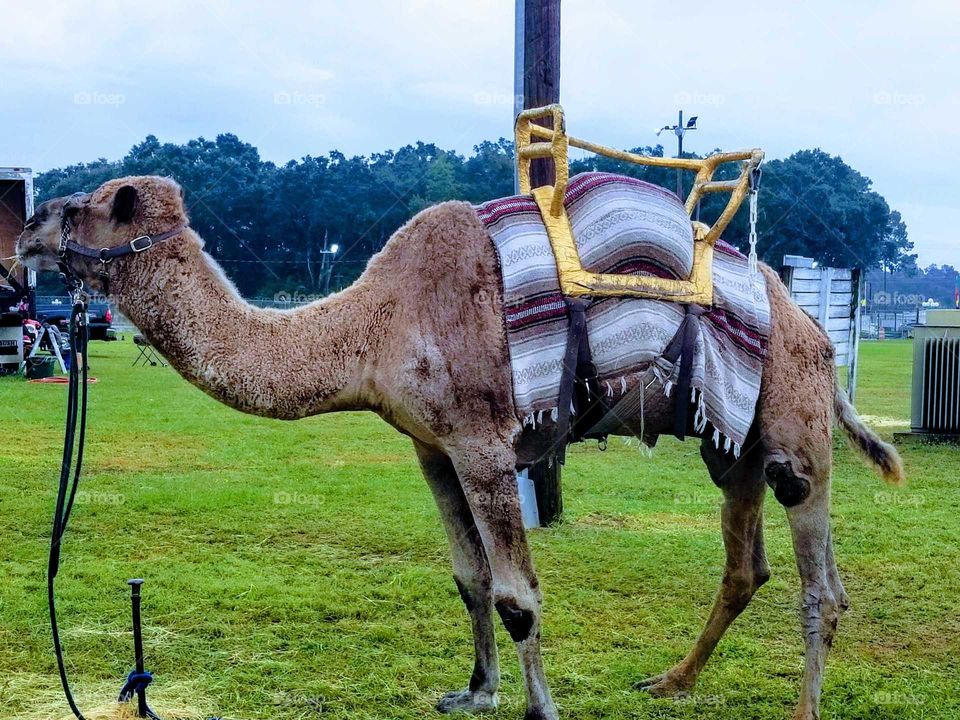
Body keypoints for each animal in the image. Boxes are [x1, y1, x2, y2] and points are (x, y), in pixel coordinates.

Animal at [18, 176, 904, 720]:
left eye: (87, 207)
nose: (24, 227)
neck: (376, 322)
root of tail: (816, 330)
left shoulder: (483, 442)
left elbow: (518, 595)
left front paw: (540, 708)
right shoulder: (432, 447)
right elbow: (469, 578)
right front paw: (474, 693)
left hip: (794, 430)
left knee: (821, 584)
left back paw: (801, 706)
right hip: (734, 444)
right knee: (746, 565)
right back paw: (671, 680)